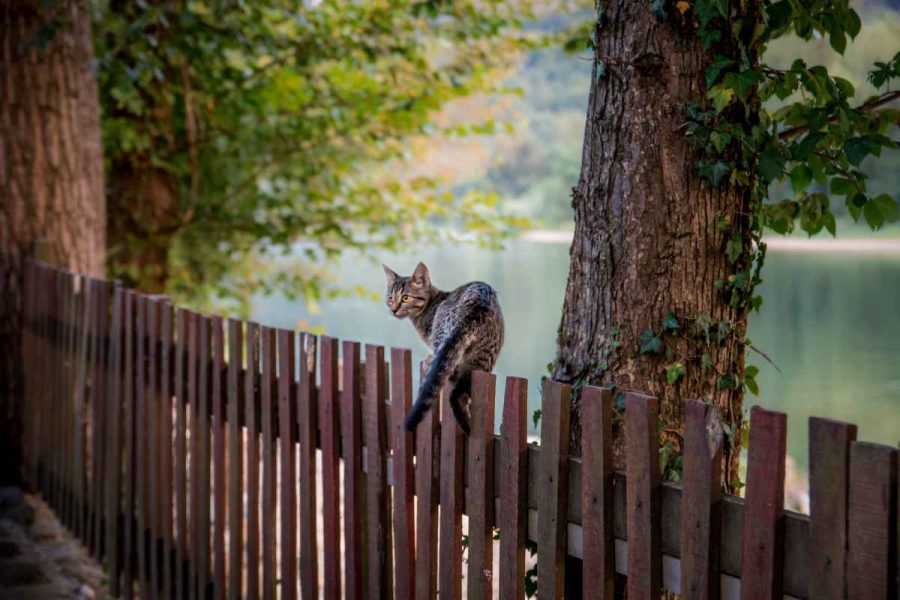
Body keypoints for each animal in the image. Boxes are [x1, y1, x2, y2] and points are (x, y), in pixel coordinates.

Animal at [382, 260, 502, 434]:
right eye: (390, 297)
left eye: (405, 298)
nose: (393, 309)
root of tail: (475, 310)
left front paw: (428, 359)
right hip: (483, 358)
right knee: (459, 392)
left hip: (443, 331)